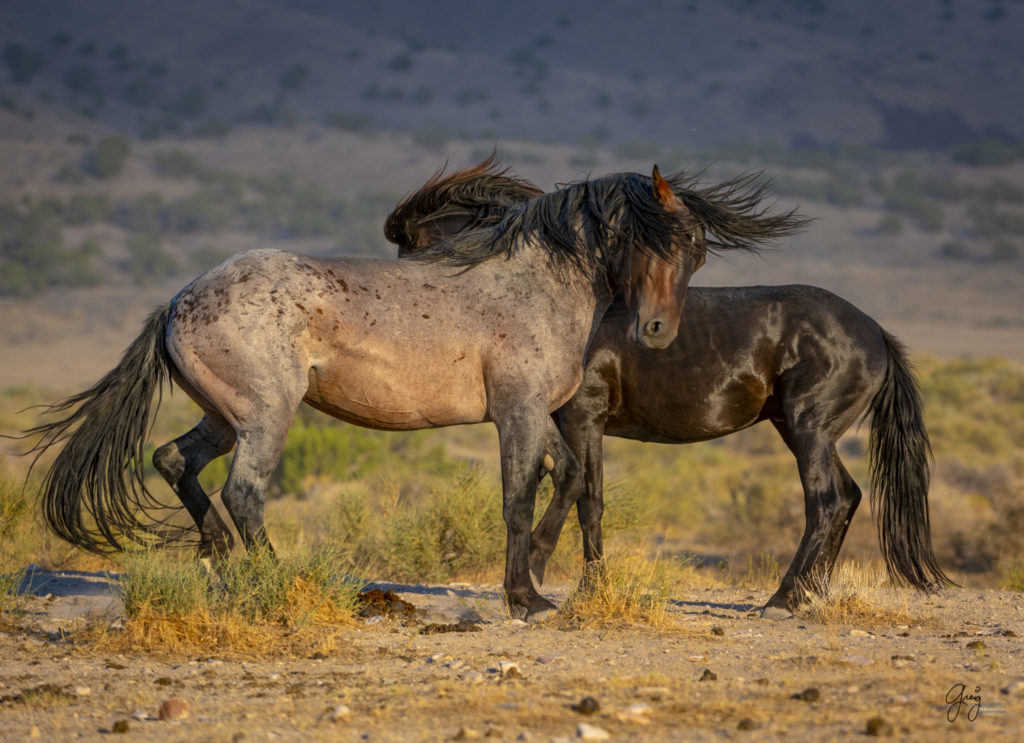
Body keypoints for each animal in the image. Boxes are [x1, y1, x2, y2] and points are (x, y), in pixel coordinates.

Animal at [25, 165, 712, 618]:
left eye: (697, 250)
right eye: (653, 237)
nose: (657, 330)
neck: (531, 284)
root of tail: (177, 302)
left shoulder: (535, 412)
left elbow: (566, 478)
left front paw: (537, 579)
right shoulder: (518, 413)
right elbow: (519, 497)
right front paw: (524, 598)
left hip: (223, 418)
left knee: (174, 461)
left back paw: (218, 557)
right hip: (266, 418)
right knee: (243, 493)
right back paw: (276, 581)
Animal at [385, 155, 950, 618]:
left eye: (416, 253)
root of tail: (876, 332)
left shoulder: (582, 417)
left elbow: (586, 498)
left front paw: (558, 580)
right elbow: (584, 496)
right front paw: (582, 587)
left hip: (810, 430)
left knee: (826, 502)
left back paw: (782, 601)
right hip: (799, 430)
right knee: (849, 498)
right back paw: (808, 595)